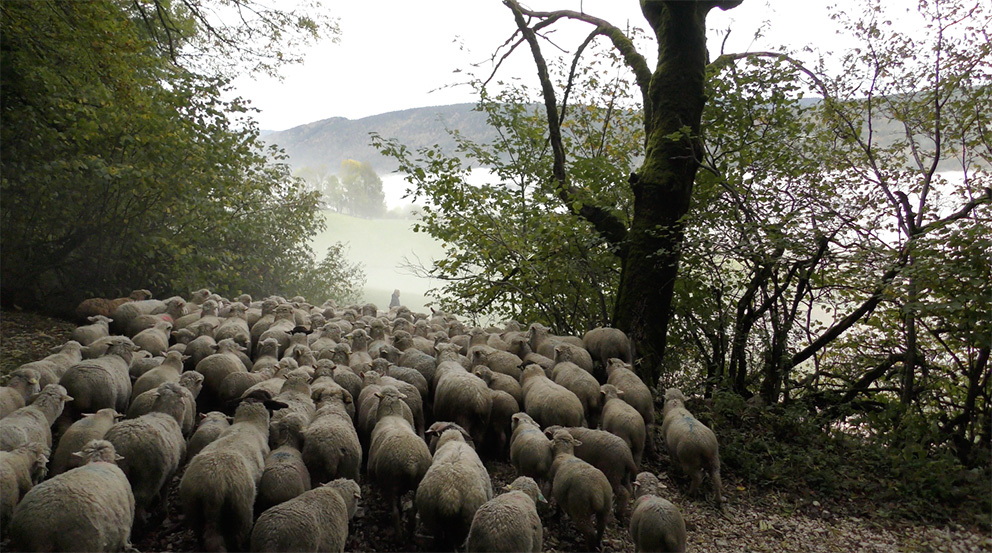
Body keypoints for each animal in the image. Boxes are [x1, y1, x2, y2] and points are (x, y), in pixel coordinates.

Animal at [104, 382, 188, 520]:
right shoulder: (170, 472)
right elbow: (165, 492)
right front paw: (164, 510)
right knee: (139, 502)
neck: (165, 413)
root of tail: (124, 444)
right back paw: (144, 519)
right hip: (148, 477)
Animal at [364, 384, 426, 536]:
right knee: (413, 511)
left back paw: (398, 535)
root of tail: (411, 462)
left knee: (395, 512)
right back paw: (410, 529)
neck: (392, 415)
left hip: (390, 481)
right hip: (419, 483)